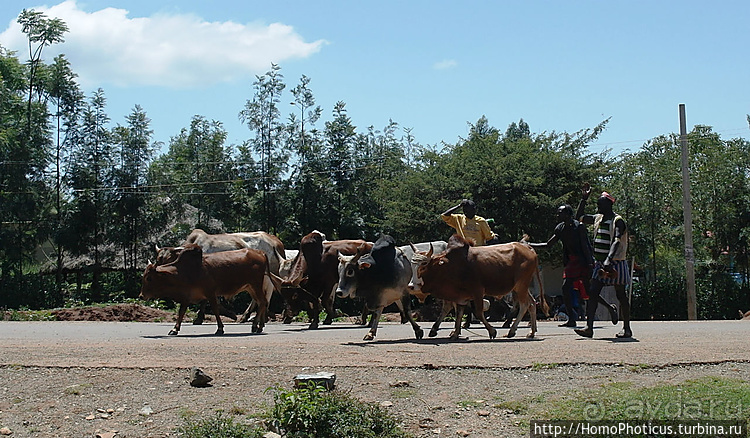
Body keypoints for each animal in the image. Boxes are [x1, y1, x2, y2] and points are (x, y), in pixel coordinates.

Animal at [139, 243, 280, 336]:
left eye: (149, 278)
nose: (141, 296)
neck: (185, 271)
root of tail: (260, 252)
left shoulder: (210, 293)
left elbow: (215, 310)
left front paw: (220, 329)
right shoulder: (187, 296)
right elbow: (181, 312)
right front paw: (174, 329)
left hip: (255, 285)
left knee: (263, 302)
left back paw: (256, 326)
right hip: (250, 287)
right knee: (261, 303)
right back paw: (257, 326)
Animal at [418, 234, 548, 340]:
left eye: (424, 266)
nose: (419, 285)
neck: (452, 264)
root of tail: (528, 249)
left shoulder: (478, 291)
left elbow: (479, 312)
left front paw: (492, 331)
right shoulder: (461, 296)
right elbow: (459, 314)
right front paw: (455, 334)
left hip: (521, 285)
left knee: (525, 305)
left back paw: (511, 331)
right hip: (521, 288)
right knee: (532, 303)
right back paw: (531, 332)